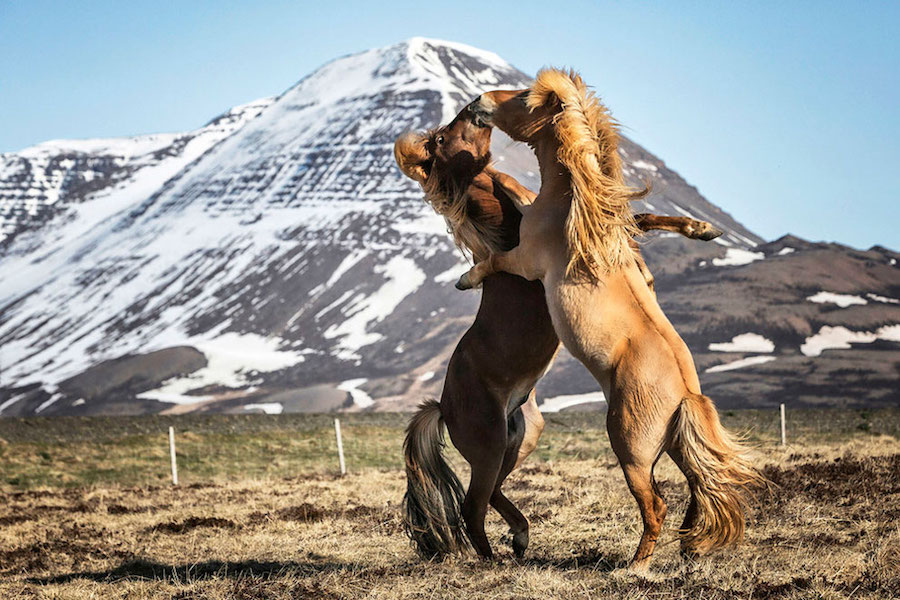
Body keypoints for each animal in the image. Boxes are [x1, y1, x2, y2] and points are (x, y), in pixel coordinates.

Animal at [394, 102, 725, 561]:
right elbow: (498, 261)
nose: (473, 110)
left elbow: (638, 218)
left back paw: (520, 537)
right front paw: (466, 278)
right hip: (489, 444)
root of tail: (443, 406)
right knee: (472, 507)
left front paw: (702, 228)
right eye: (442, 138)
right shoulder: (532, 253)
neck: (497, 208)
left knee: (492, 493)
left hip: (520, 438)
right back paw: (494, 560)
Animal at [453, 69, 765, 568]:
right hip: (675, 448)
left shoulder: (526, 260)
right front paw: (703, 229)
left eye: (522, 97)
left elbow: (495, 260)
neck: (567, 203)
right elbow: (642, 215)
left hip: (631, 450)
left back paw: (635, 566)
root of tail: (685, 395)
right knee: (696, 492)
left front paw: (466, 278)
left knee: (656, 505)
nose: (476, 101)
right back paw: (687, 546)